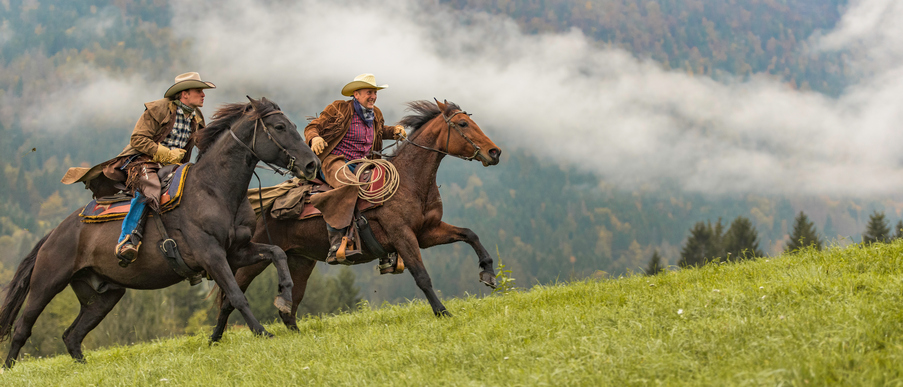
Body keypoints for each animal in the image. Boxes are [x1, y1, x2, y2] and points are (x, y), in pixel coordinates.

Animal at [0, 98, 322, 370]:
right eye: (279, 127)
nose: (311, 164)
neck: (214, 189)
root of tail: (54, 234)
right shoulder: (212, 255)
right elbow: (236, 296)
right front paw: (261, 332)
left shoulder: (237, 252)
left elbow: (275, 256)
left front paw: (282, 299)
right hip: (47, 284)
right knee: (22, 327)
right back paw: (9, 368)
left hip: (103, 295)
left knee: (72, 335)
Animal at [215, 99, 504, 336]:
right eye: (463, 123)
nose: (495, 152)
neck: (410, 181)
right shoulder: (403, 235)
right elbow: (422, 276)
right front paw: (442, 312)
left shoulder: (427, 232)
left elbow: (470, 234)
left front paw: (488, 272)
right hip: (253, 259)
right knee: (230, 296)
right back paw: (219, 338)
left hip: (300, 260)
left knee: (290, 303)